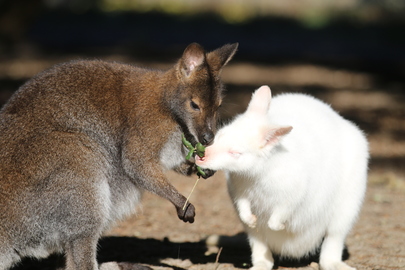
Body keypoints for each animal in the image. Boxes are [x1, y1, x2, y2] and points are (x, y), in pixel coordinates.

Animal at [194, 85, 368, 268]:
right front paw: (251, 219)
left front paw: (279, 226)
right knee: (260, 244)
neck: (258, 173)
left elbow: (285, 208)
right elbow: (243, 204)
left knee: (333, 240)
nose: (200, 157)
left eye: (235, 153)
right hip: (254, 234)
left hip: (347, 206)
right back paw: (260, 261)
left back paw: (334, 263)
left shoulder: (297, 188)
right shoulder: (237, 186)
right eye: (220, 136)